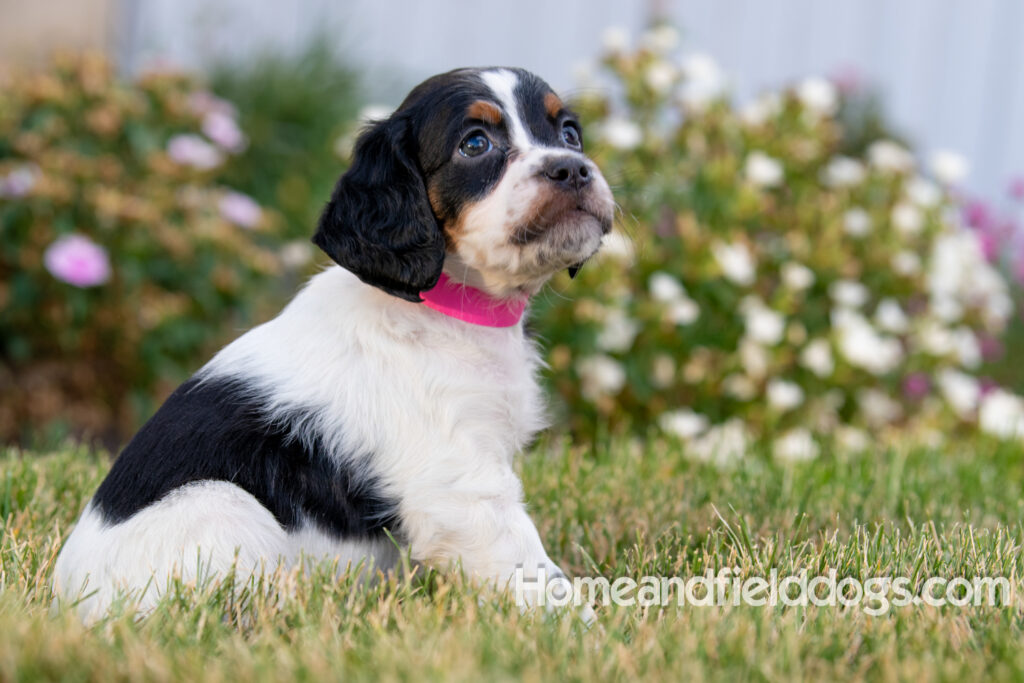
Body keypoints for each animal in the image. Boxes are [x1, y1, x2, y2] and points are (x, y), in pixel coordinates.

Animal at [51, 68, 610, 618]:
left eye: (569, 134)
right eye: (475, 144)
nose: (572, 169)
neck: (447, 309)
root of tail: (69, 609)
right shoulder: (462, 485)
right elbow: (529, 567)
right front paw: (579, 626)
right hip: (222, 503)